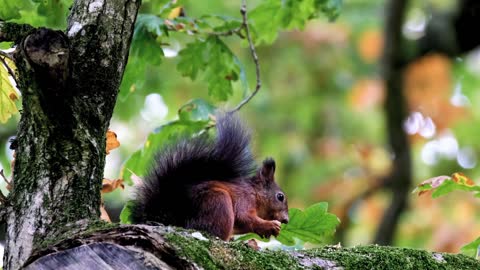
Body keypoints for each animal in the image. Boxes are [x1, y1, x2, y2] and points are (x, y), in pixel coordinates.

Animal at [129, 113, 288, 239]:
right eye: (280, 197)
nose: (286, 220)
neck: (255, 193)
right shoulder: (244, 198)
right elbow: (244, 217)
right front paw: (271, 226)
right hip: (218, 202)